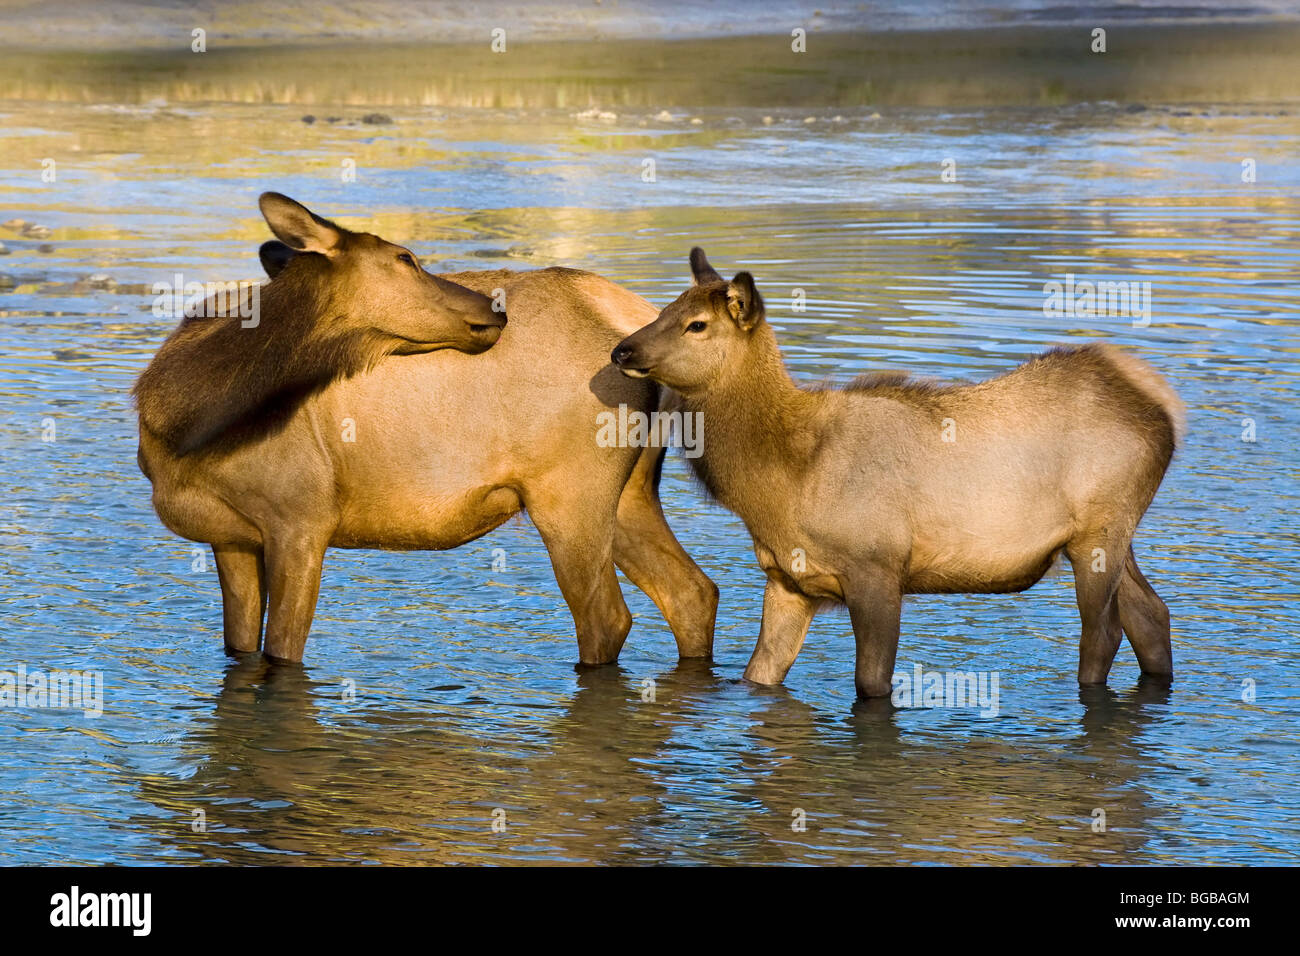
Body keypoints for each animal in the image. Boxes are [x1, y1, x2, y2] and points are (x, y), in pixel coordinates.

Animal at [134, 196, 722, 665]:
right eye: (406, 258)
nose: (494, 307)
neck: (182, 423)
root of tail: (631, 316)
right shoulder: (230, 537)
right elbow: (240, 647)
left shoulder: (301, 520)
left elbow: (282, 651)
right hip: (628, 495)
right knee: (692, 592)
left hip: (569, 493)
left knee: (607, 616)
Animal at [613, 251, 1185, 697]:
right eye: (667, 309)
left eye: (697, 324)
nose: (622, 349)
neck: (780, 478)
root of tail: (1163, 407)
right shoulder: (788, 581)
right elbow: (758, 675)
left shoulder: (878, 568)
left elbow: (872, 684)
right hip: (1111, 536)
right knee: (1151, 615)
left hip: (1098, 532)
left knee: (1104, 633)